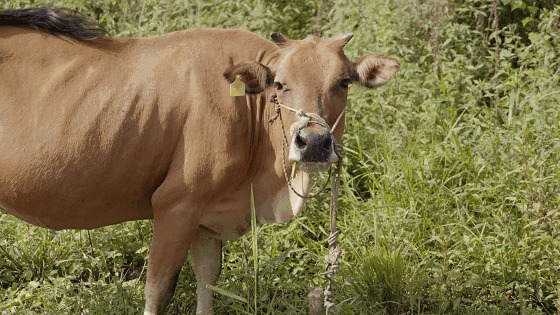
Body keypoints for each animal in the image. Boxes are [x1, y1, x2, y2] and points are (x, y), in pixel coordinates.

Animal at [0, 7, 398, 315]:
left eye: (343, 81)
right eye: (279, 84)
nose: (313, 142)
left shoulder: (208, 214)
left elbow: (208, 282)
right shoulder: (176, 205)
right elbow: (158, 290)